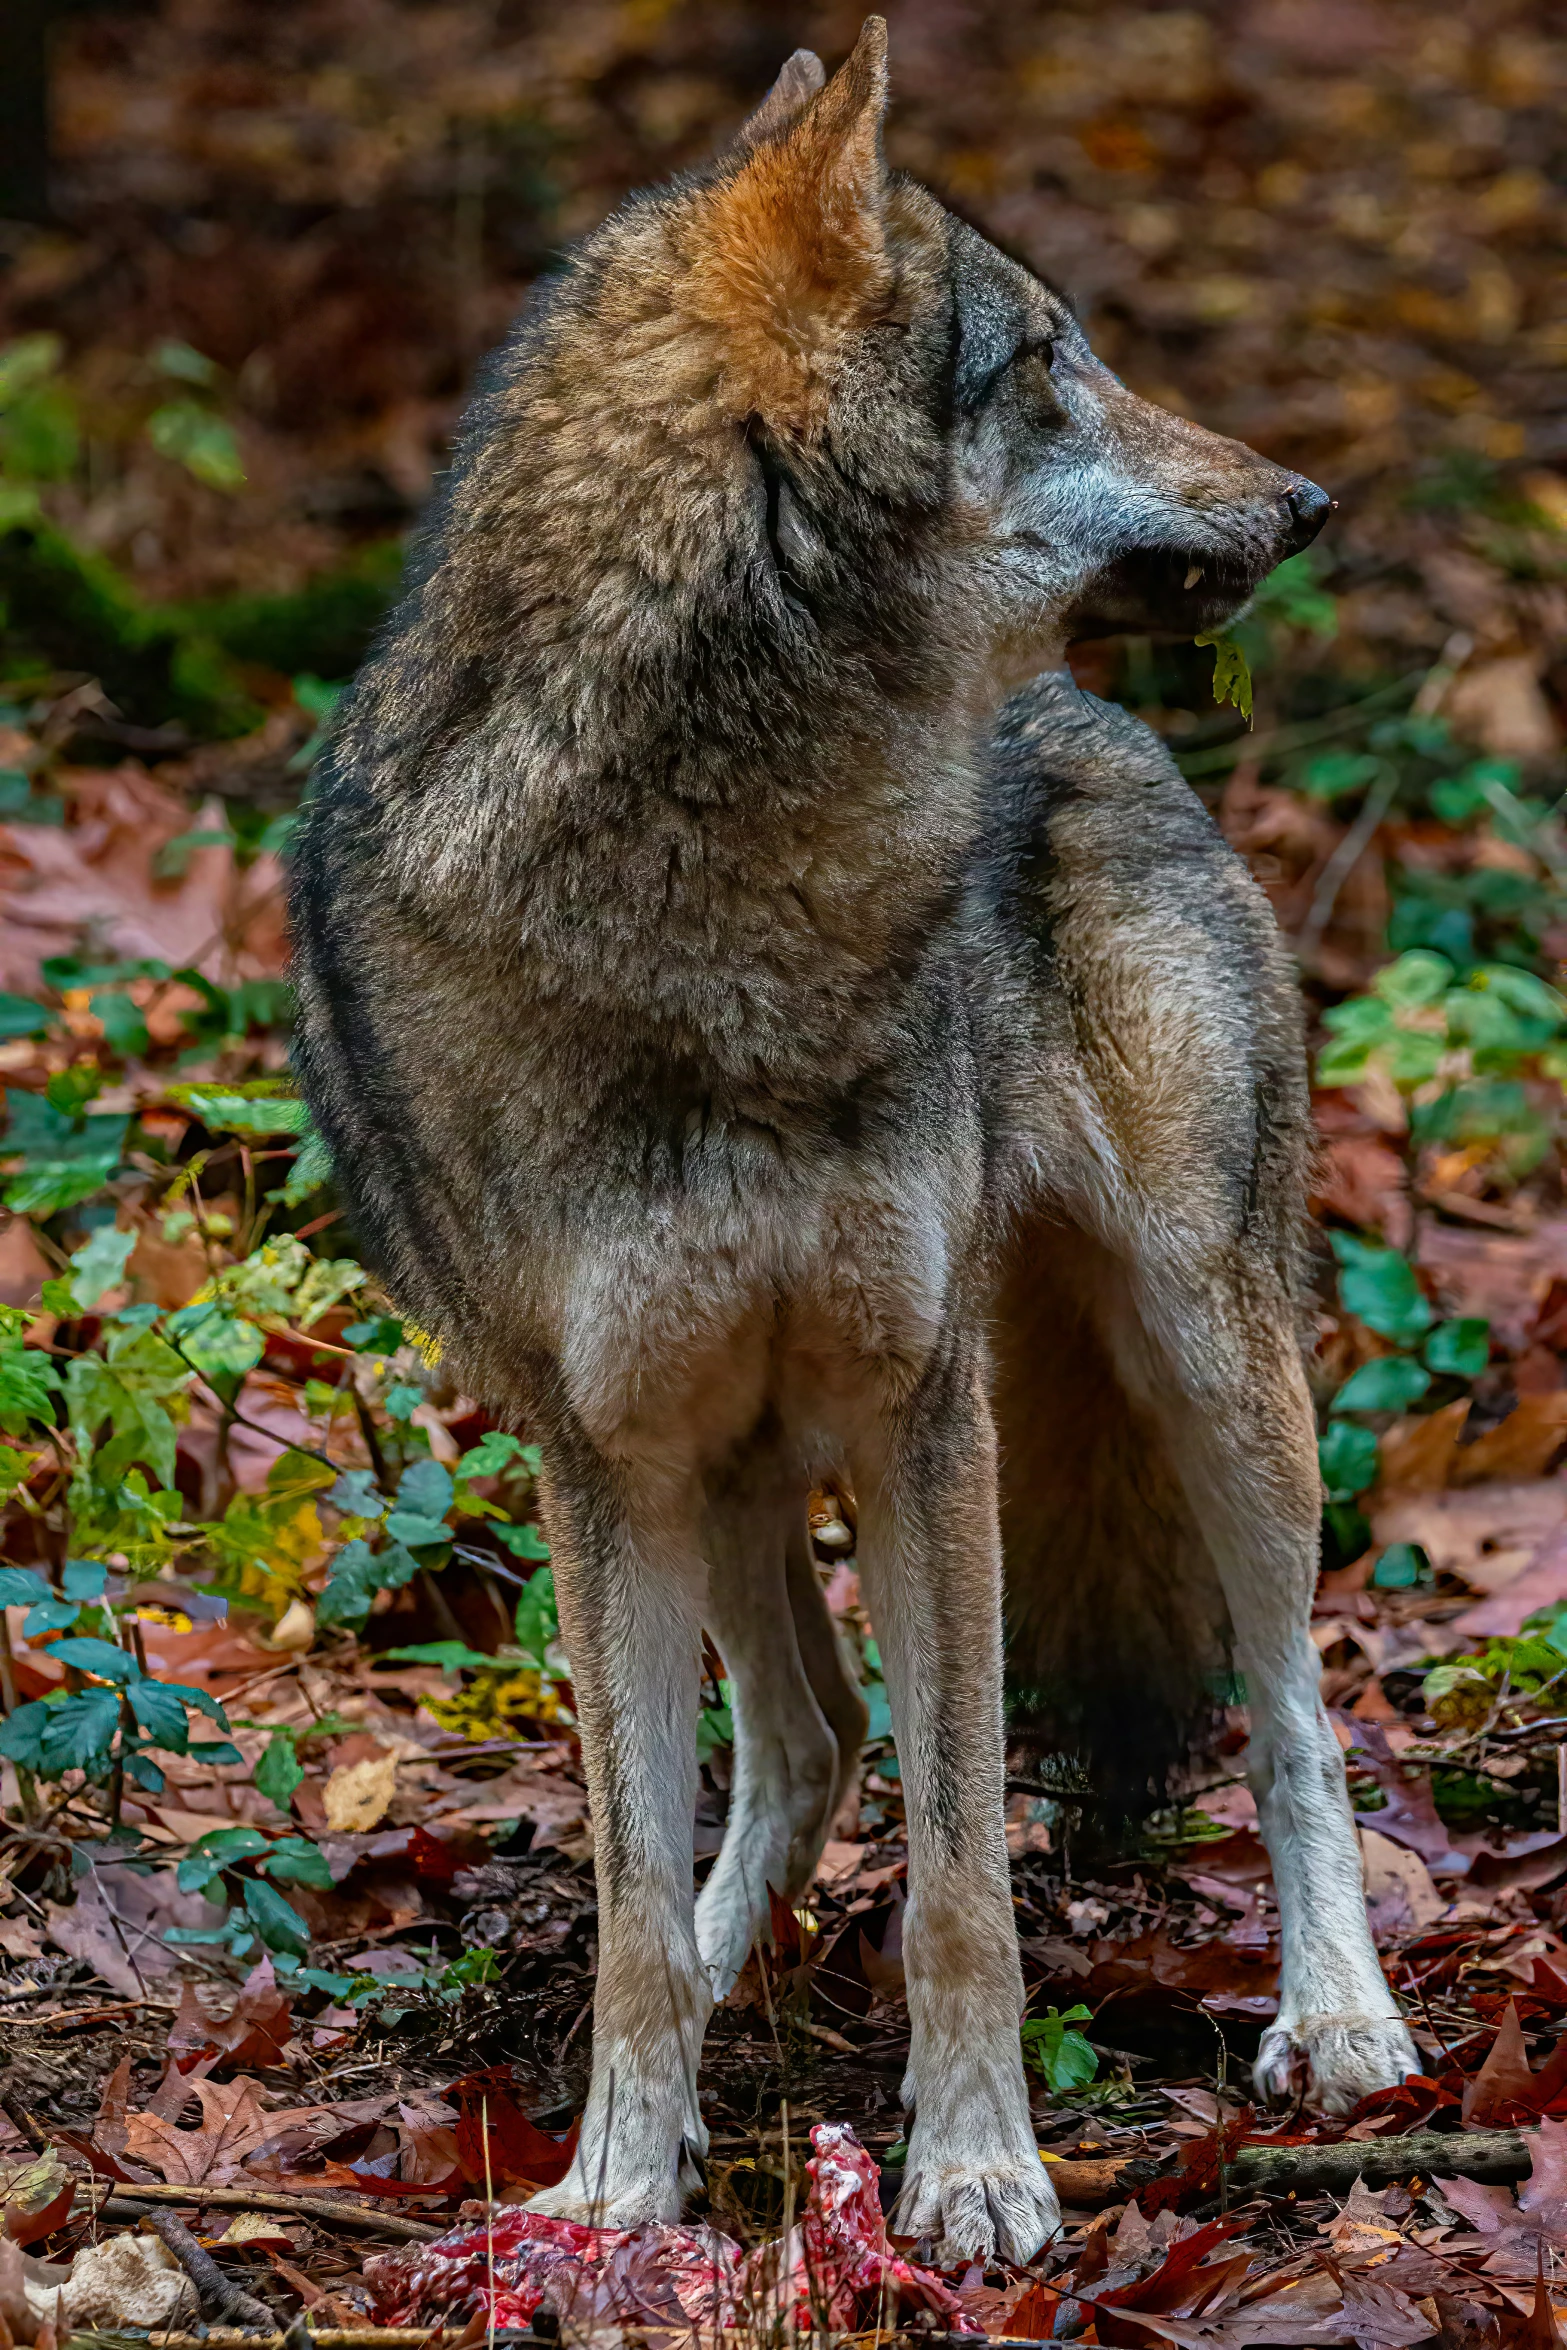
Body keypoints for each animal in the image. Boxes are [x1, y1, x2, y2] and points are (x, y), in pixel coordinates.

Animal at [291, 13, 1418, 2256]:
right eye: (1050, 361)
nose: (1306, 499)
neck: (731, 891)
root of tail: (1096, 723)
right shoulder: (607, 1455)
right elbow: (635, 1884)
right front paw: (615, 2184)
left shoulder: (925, 1410)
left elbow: (965, 1869)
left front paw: (974, 2171)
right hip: (726, 1463)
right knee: (795, 1747)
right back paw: (717, 1995)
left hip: (1203, 1355)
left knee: (1295, 1708)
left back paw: (1338, 2022)